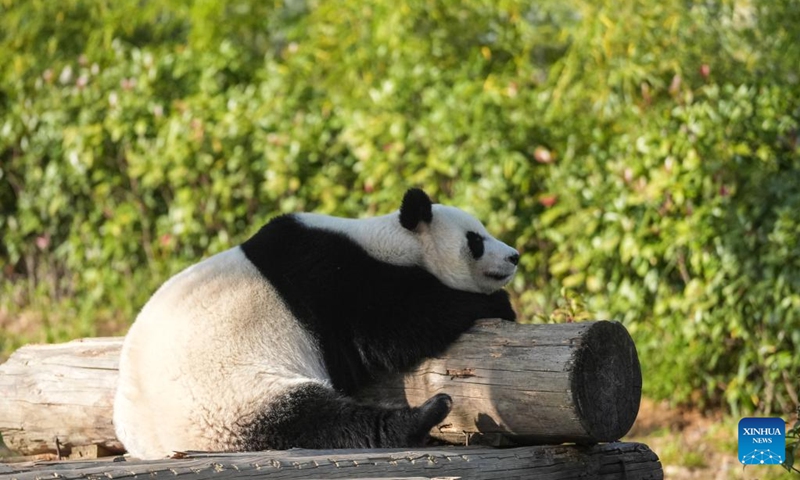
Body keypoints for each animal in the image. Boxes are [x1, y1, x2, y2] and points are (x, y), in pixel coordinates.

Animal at [115, 188, 520, 458]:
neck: (388, 242)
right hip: (232, 401)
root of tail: (154, 446)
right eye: (476, 240)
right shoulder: (333, 279)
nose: (514, 256)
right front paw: (496, 304)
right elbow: (394, 329)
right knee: (319, 421)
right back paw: (425, 415)